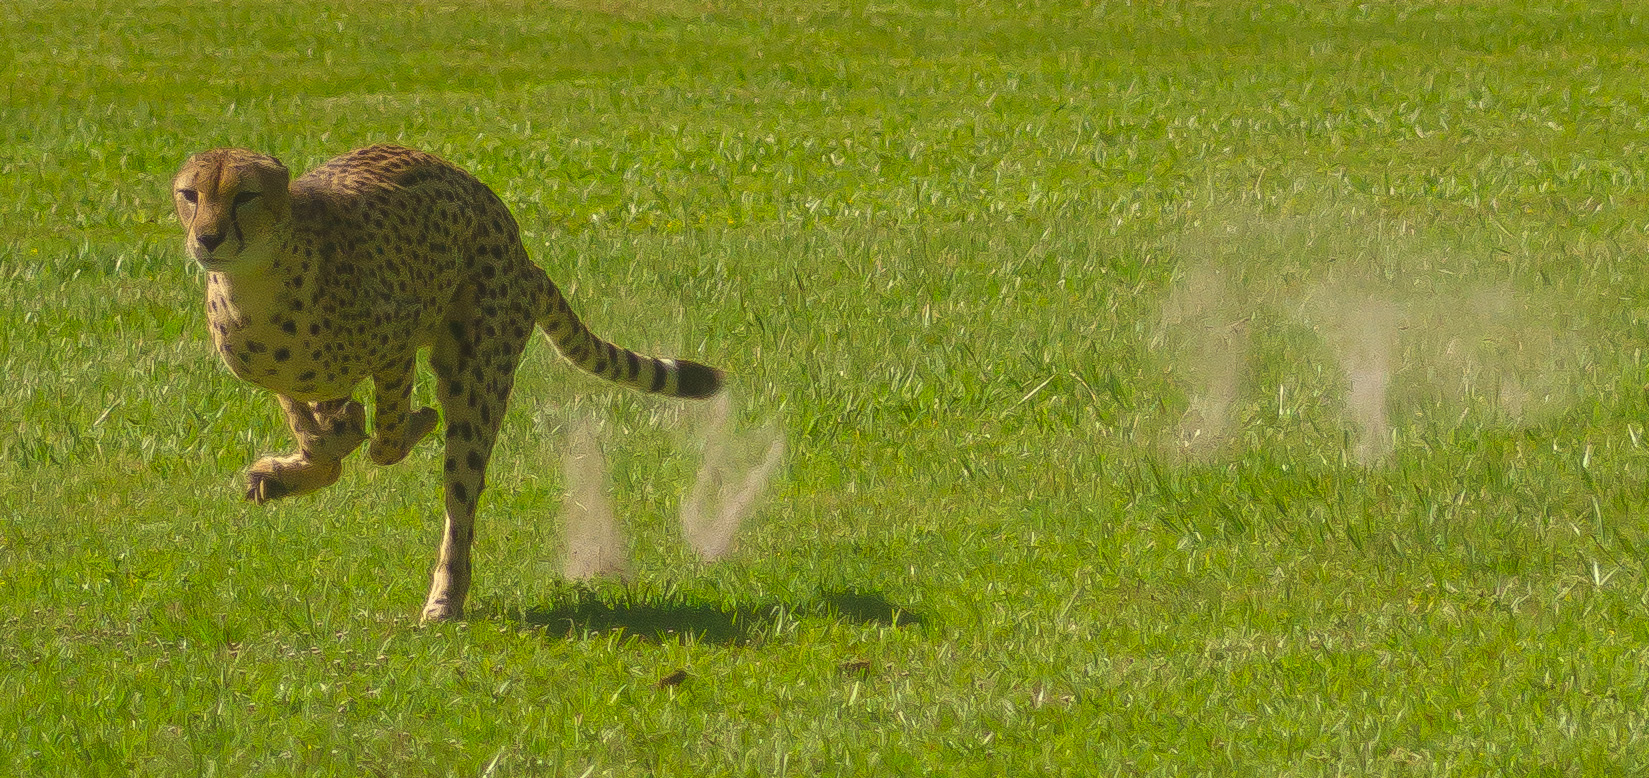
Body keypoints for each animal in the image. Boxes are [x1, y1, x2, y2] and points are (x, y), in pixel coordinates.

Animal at [169, 142, 728, 623]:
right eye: (190, 194)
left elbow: (386, 438)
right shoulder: (291, 378)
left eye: (244, 195)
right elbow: (317, 430)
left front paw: (406, 423)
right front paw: (293, 466)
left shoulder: (399, 343)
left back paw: (444, 599)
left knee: (459, 501)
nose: (208, 238)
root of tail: (516, 243)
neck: (257, 282)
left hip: (478, 379)